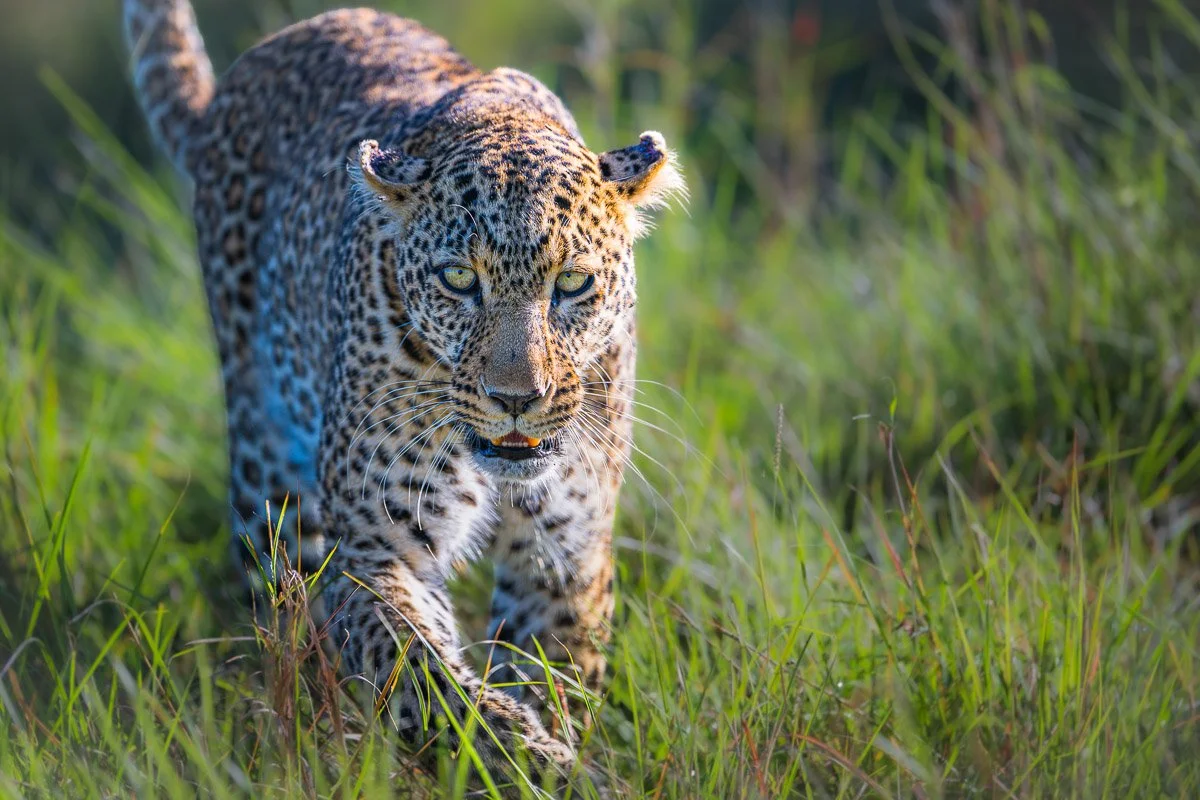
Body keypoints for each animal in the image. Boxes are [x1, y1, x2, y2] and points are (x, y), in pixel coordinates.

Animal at [124, 0, 682, 777]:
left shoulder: (565, 548)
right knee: (288, 622)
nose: (517, 399)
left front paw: (552, 748)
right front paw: (520, 758)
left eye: (572, 283)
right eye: (457, 279)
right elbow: (422, 672)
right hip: (269, 481)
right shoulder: (375, 545)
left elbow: (556, 668)